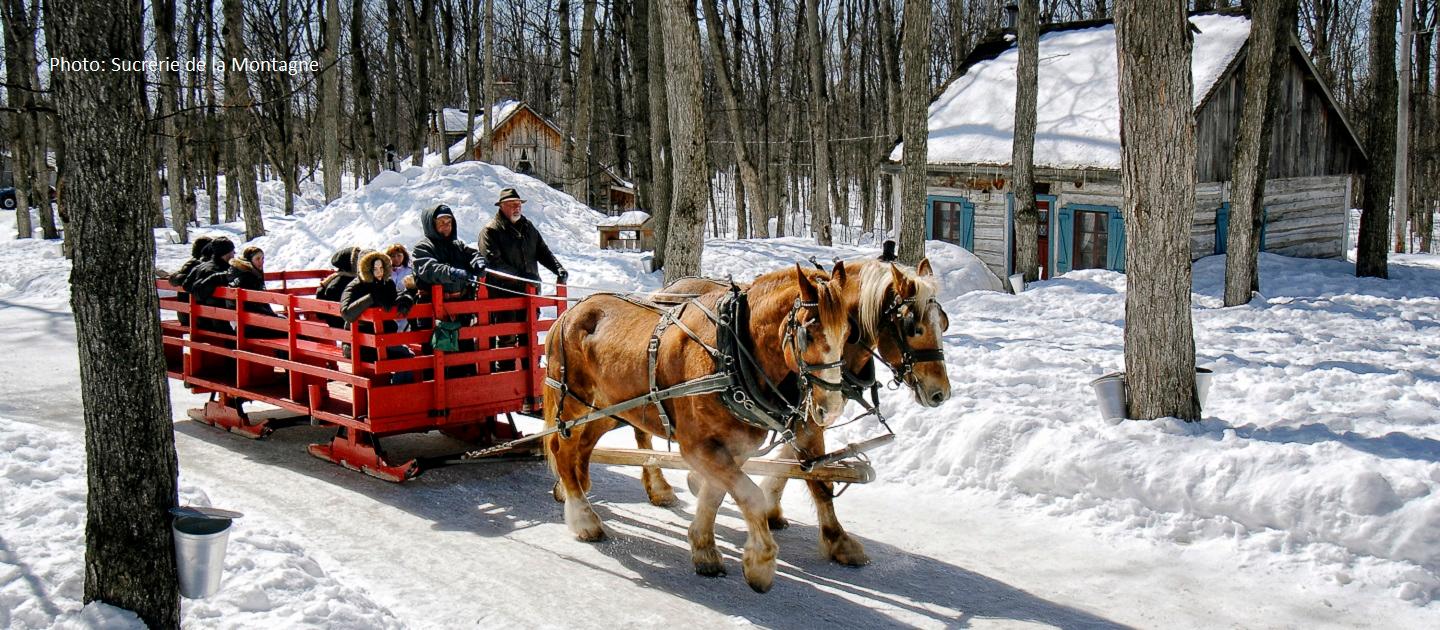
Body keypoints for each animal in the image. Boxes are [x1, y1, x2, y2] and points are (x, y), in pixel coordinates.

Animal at [541, 260, 852, 589]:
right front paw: (761, 563)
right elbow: (750, 495)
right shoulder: (698, 446)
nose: (831, 407)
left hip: (609, 408)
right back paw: (583, 517)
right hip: (572, 402)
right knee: (561, 449)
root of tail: (569, 313)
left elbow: (715, 495)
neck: (730, 352)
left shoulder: (734, 447)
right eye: (808, 334)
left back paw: (577, 489)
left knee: (584, 445)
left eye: (848, 333)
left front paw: (703, 548)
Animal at [633, 256, 950, 566]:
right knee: (641, 431)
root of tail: (668, 290)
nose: (941, 393)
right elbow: (815, 477)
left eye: (943, 324)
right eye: (913, 328)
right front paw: (837, 539)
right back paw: (660, 488)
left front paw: (771, 507)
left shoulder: (804, 417)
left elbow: (800, 466)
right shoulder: (804, 417)